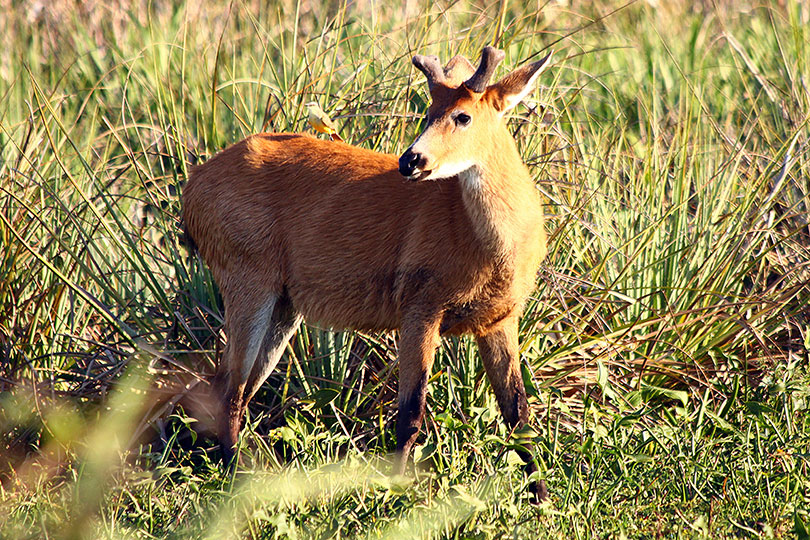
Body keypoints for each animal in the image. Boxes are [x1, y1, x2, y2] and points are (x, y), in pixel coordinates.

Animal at [182, 46, 552, 501]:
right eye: (428, 113)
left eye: (462, 116)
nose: (410, 160)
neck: (490, 249)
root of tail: (192, 188)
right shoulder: (419, 304)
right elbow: (411, 411)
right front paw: (394, 490)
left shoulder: (500, 320)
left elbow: (519, 415)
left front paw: (542, 497)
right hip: (247, 277)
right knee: (229, 387)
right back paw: (236, 476)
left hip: (284, 305)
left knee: (235, 385)